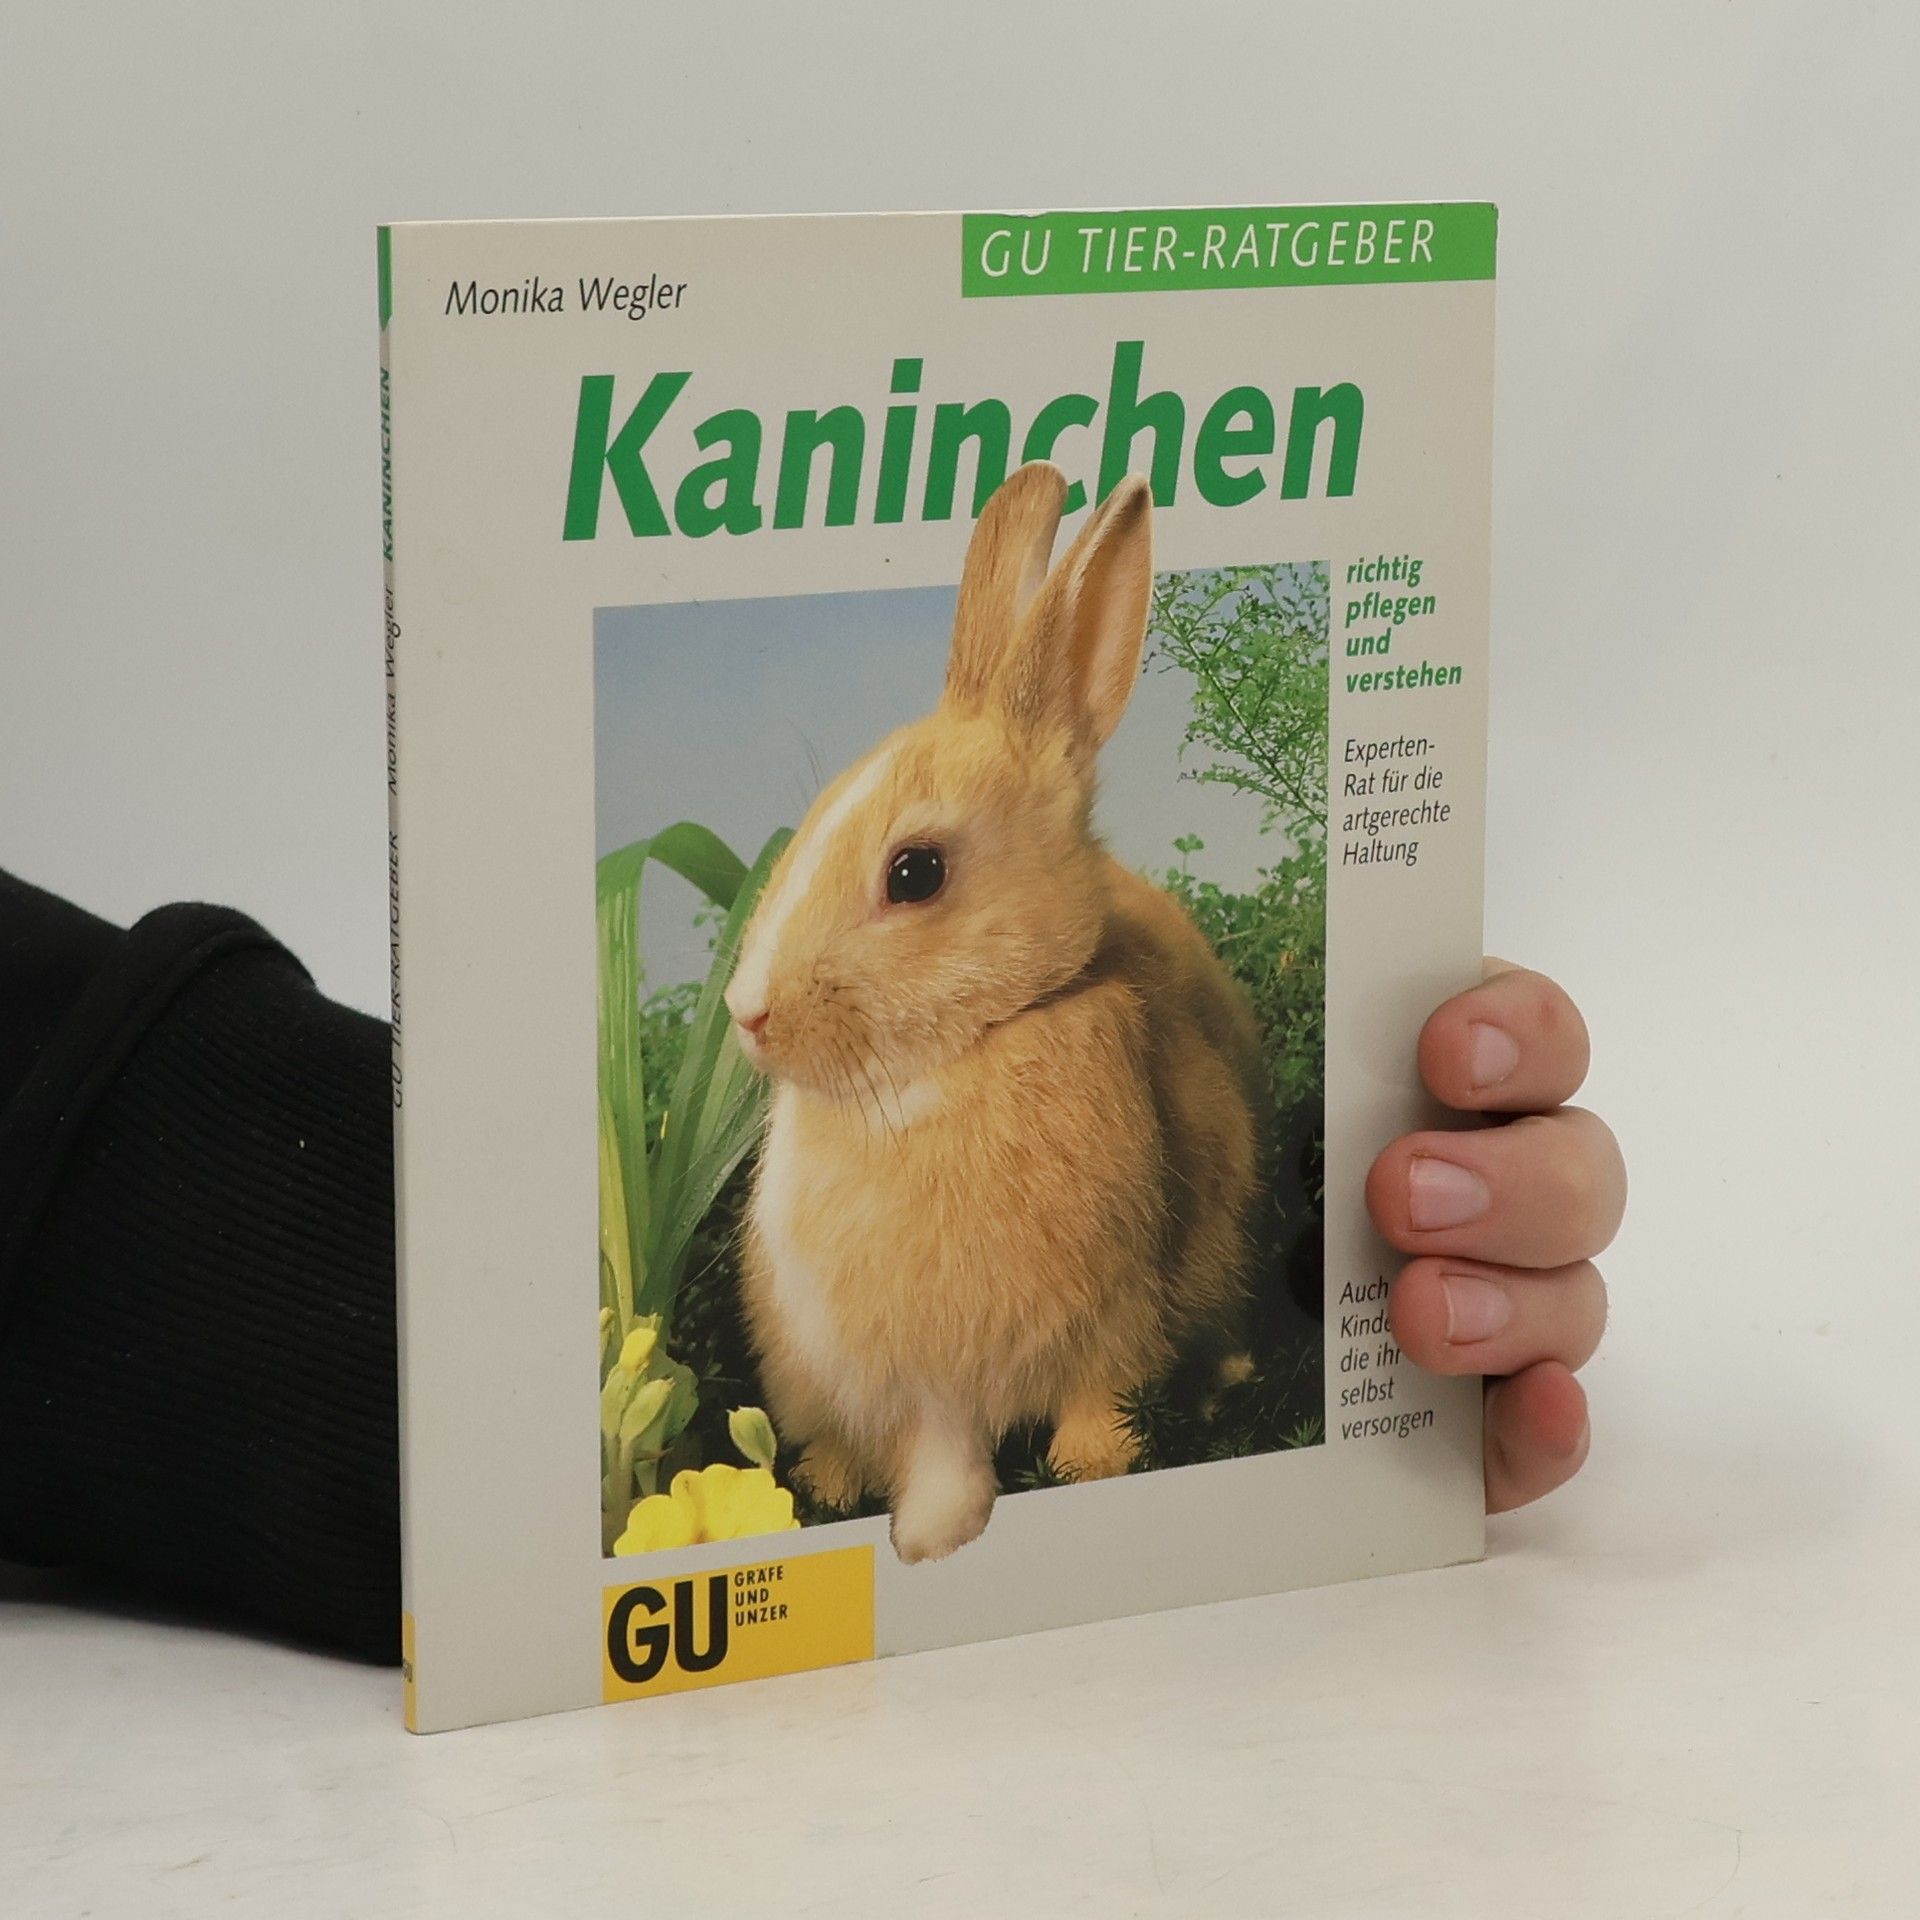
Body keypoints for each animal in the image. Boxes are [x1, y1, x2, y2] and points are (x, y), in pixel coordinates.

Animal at [724, 461, 1265, 1564]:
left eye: (916, 872)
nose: (744, 1012)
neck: (953, 1062)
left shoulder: (1117, 1315)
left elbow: (1098, 1399)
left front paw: (1091, 1466)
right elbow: (925, 1450)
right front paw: (915, 1525)